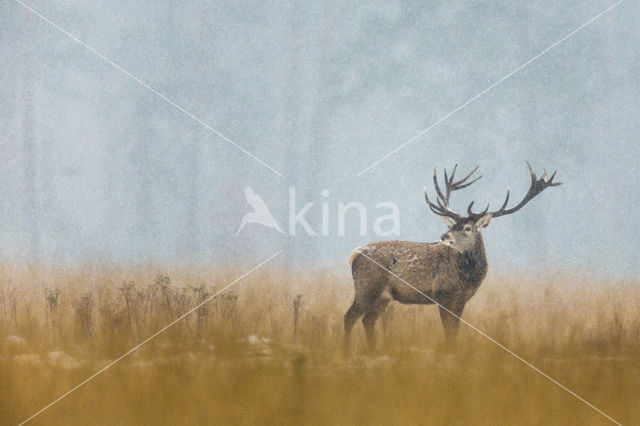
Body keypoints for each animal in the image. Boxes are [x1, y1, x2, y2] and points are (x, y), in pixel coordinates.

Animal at [344, 161, 560, 354]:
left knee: (367, 320)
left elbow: (454, 330)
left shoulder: (461, 299)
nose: (443, 236)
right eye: (453, 225)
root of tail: (355, 254)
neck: (465, 279)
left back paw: (373, 351)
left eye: (467, 228)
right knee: (349, 317)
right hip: (367, 286)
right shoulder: (443, 293)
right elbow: (448, 331)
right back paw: (346, 351)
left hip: (383, 295)